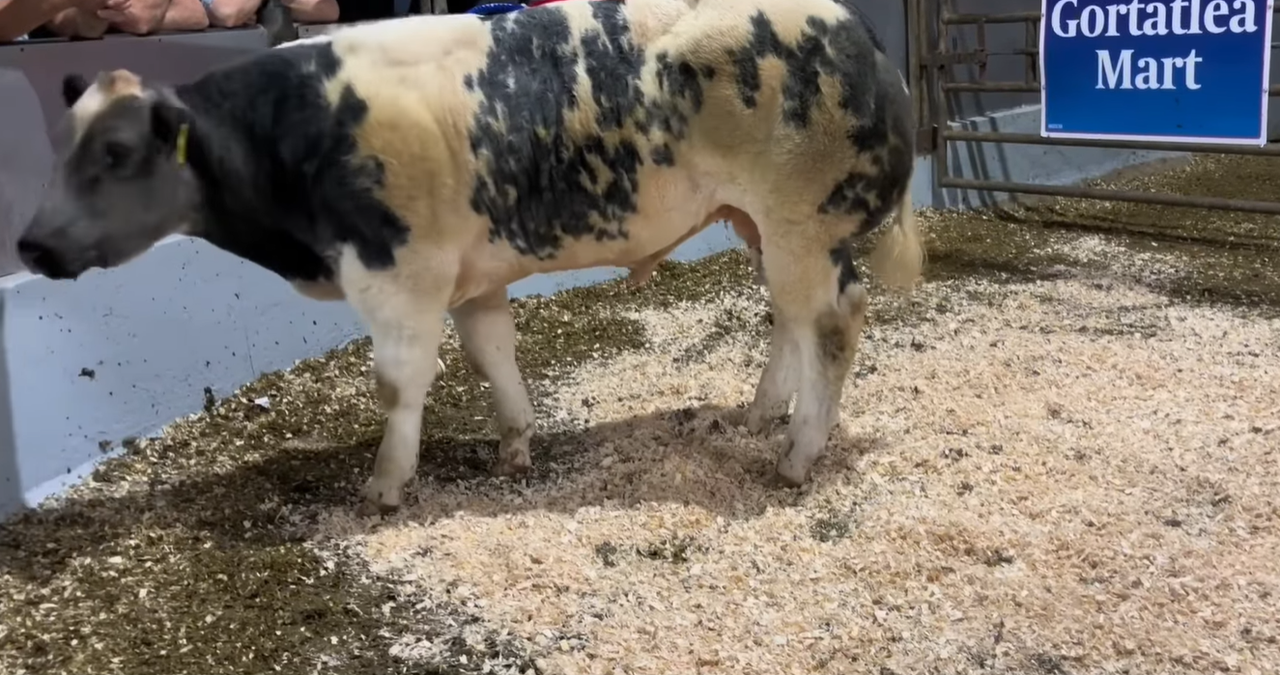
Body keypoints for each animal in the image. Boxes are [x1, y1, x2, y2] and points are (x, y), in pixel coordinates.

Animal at [16, 0, 923, 516]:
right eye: (61, 147)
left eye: (117, 152)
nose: (29, 242)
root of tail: (858, 29)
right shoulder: (470, 280)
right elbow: (493, 359)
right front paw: (515, 448)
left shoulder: (398, 274)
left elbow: (398, 382)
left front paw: (385, 486)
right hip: (759, 225)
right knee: (789, 321)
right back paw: (757, 415)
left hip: (806, 222)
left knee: (832, 324)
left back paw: (796, 457)